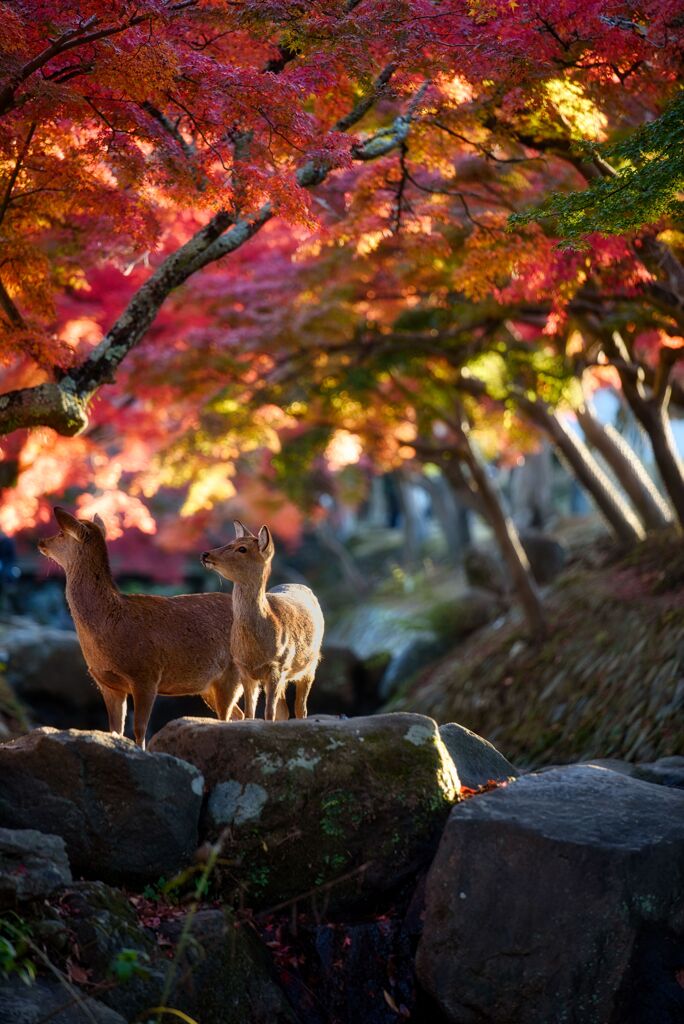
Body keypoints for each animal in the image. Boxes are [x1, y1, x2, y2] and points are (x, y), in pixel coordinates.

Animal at [38, 507, 242, 749]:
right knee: (239, 714)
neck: (109, 625)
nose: (41, 542)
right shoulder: (107, 683)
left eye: (61, 533)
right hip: (208, 685)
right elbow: (115, 730)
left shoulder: (146, 674)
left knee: (228, 717)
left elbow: (139, 729)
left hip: (232, 671)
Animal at [200, 520, 323, 720]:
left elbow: (269, 712)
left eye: (242, 549)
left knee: (300, 708)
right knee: (284, 709)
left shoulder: (277, 666)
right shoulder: (243, 669)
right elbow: (250, 713)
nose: (205, 554)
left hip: (310, 663)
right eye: (231, 541)